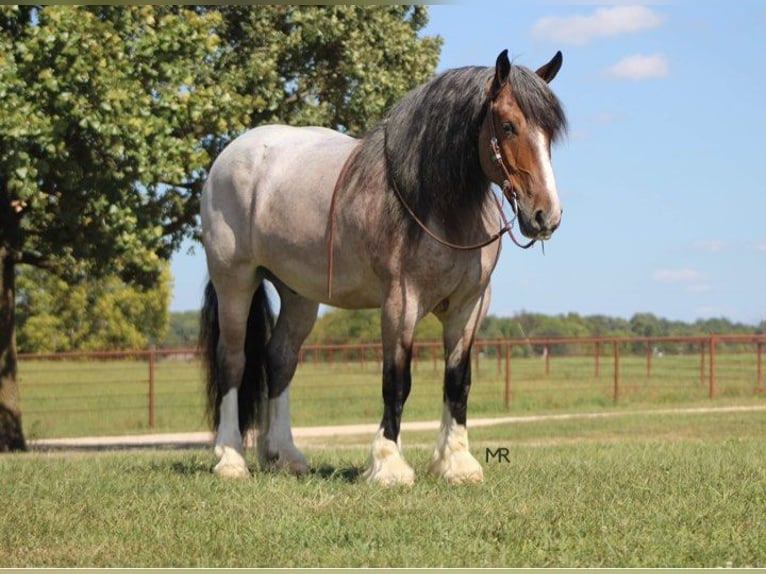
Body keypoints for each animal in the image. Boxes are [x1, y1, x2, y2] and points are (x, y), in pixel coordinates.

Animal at [201, 50, 568, 486]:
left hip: (298, 295)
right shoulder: (400, 303)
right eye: (509, 126)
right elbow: (396, 382)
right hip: (235, 281)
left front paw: (456, 462)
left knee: (280, 360)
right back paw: (230, 458)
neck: (436, 204)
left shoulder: (470, 304)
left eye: (549, 132)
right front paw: (388, 464)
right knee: (233, 361)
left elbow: (457, 381)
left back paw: (284, 455)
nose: (546, 216)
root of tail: (229, 156)